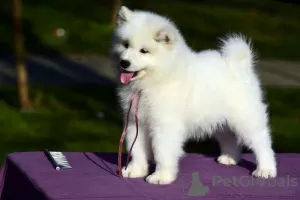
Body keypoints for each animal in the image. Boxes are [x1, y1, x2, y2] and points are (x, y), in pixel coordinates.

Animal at [109, 5, 276, 184]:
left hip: (244, 118)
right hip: (220, 120)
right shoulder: (136, 121)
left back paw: (266, 169)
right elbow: (137, 150)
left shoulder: (165, 125)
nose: (124, 62)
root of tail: (239, 65)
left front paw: (161, 177)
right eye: (125, 45)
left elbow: (162, 152)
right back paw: (230, 158)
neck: (156, 80)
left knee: (262, 142)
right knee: (229, 138)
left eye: (144, 51)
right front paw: (135, 170)